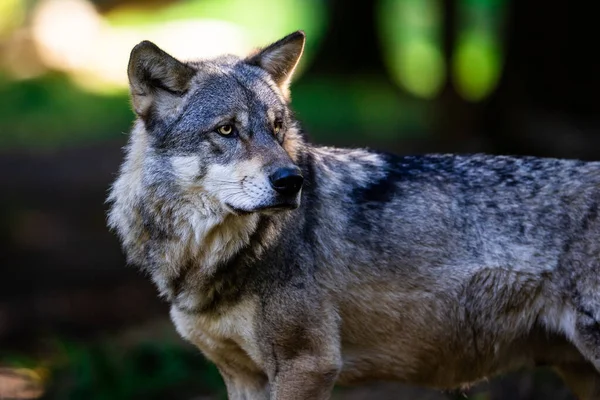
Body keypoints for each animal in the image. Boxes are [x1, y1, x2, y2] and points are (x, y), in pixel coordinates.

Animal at [108, 30, 600, 396]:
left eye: (277, 128)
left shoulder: (309, 366)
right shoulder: (242, 375)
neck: (210, 257)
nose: (291, 181)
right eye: (226, 130)